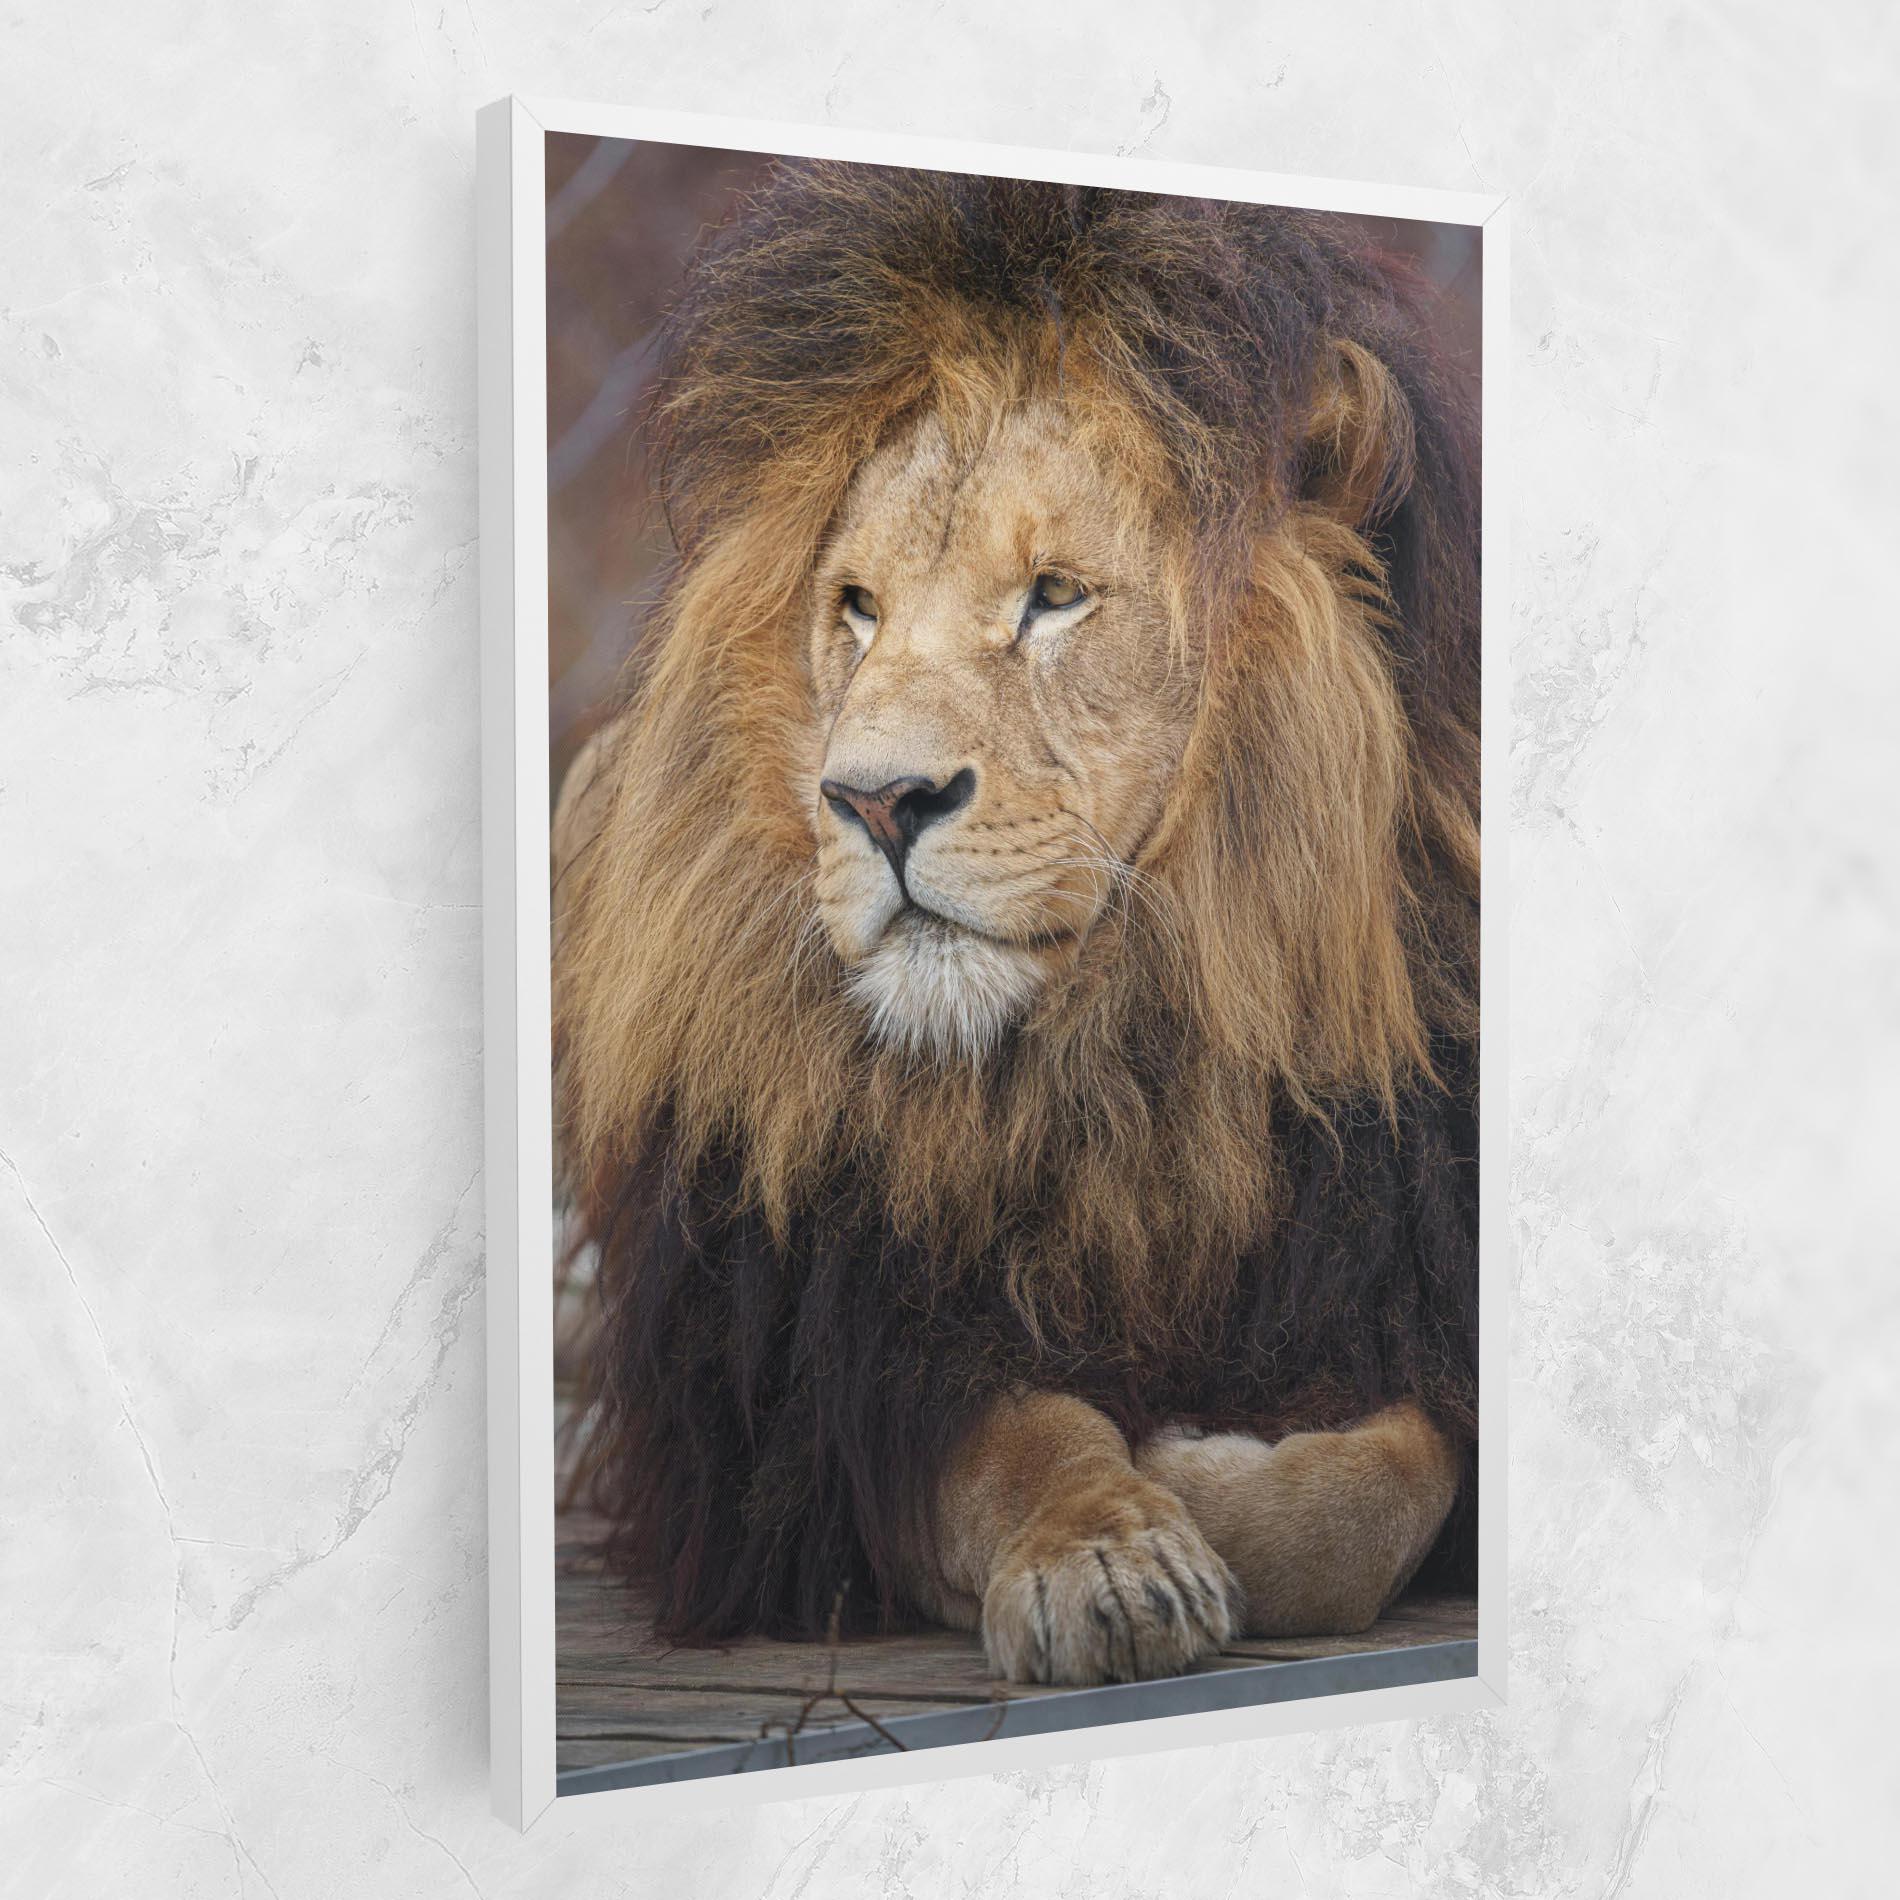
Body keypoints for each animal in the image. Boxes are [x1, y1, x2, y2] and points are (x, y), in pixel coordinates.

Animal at [553, 164, 1480, 1686]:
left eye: (1056, 596)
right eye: (856, 611)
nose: (875, 801)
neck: (1116, 1066)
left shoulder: (1393, 1278)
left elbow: (1374, 1498)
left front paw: (1209, 1462)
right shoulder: (828, 1391)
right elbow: (1020, 1444)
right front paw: (1113, 1552)